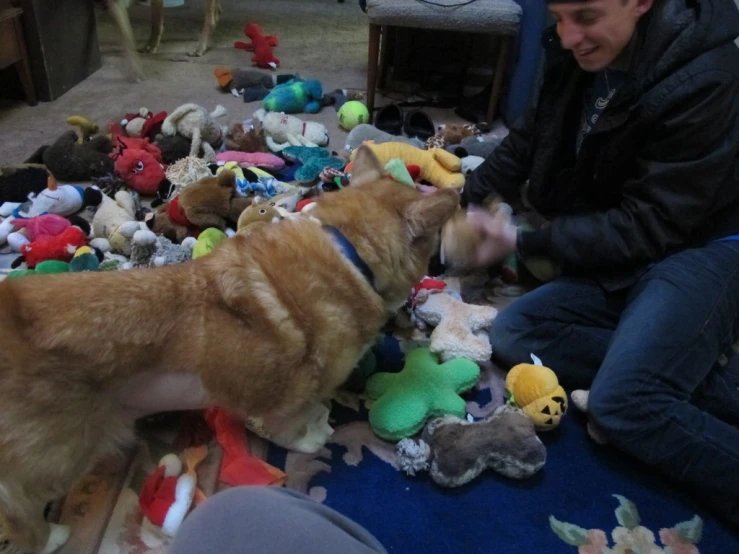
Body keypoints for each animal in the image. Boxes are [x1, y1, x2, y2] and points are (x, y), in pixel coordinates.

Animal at [0, 144, 460, 548]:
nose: (447, 264)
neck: (350, 250)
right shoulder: (288, 395)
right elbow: (295, 425)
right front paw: (314, 433)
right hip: (62, 456)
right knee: (21, 516)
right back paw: (53, 536)